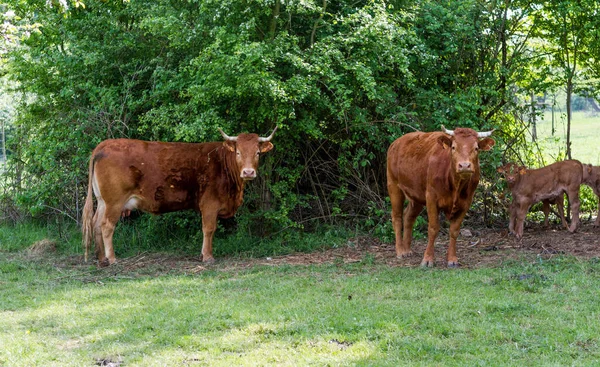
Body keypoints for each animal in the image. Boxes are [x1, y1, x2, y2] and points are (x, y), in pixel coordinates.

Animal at [82, 129, 276, 268]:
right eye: (238, 153)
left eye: (257, 153)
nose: (248, 172)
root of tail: (105, 144)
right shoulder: (210, 204)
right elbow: (209, 229)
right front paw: (207, 256)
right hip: (114, 202)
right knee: (106, 226)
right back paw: (112, 259)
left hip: (102, 201)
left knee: (96, 223)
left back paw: (101, 258)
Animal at [386, 126, 494, 268]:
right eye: (453, 147)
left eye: (476, 148)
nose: (464, 166)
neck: (456, 185)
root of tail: (396, 142)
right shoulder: (431, 198)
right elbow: (433, 228)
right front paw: (427, 259)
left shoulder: (466, 202)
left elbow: (454, 230)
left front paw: (452, 259)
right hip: (393, 185)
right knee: (397, 217)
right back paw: (400, 251)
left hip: (417, 195)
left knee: (408, 216)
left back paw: (407, 249)